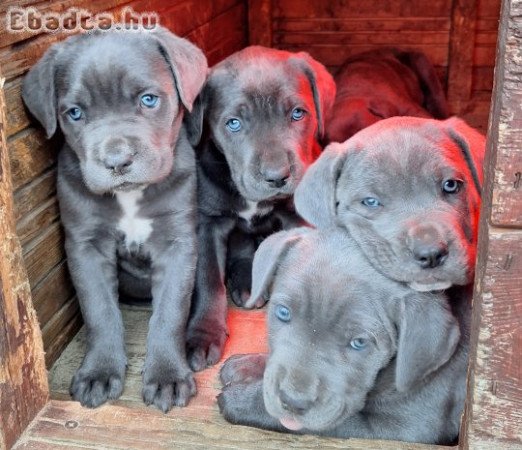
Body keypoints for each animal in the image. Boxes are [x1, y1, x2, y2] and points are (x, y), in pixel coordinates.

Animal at [22, 28, 206, 414]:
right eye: (75, 113)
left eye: (149, 100)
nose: (117, 160)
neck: (130, 197)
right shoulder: (86, 247)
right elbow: (99, 310)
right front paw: (99, 372)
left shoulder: (177, 245)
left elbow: (171, 311)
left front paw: (167, 377)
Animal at [185, 44, 336, 370]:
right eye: (234, 123)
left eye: (297, 113)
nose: (277, 176)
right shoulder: (207, 223)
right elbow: (208, 279)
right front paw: (204, 333)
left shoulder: (298, 218)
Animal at [216, 227, 468, 444]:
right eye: (283, 313)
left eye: (359, 342)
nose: (293, 401)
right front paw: (246, 365)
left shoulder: (406, 425)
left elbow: (333, 422)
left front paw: (242, 400)